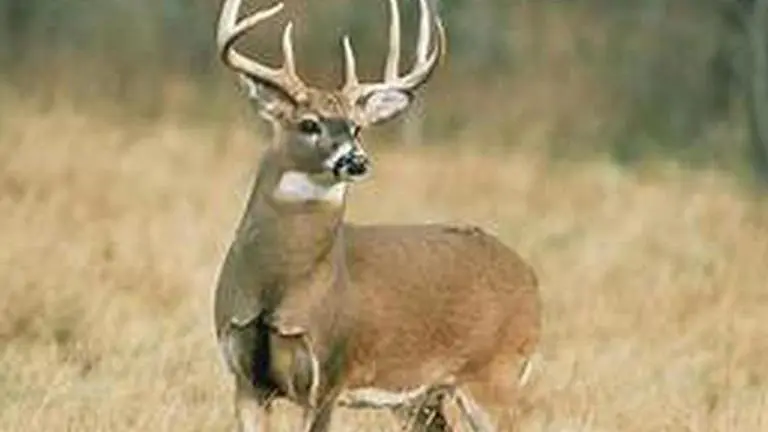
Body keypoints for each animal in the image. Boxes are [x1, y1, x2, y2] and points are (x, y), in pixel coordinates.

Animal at [212, 0, 542, 430]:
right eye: (308, 123)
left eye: (356, 128)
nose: (357, 160)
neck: (276, 288)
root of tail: (531, 278)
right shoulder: (246, 379)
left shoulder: (329, 372)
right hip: (420, 396)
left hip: (496, 373)